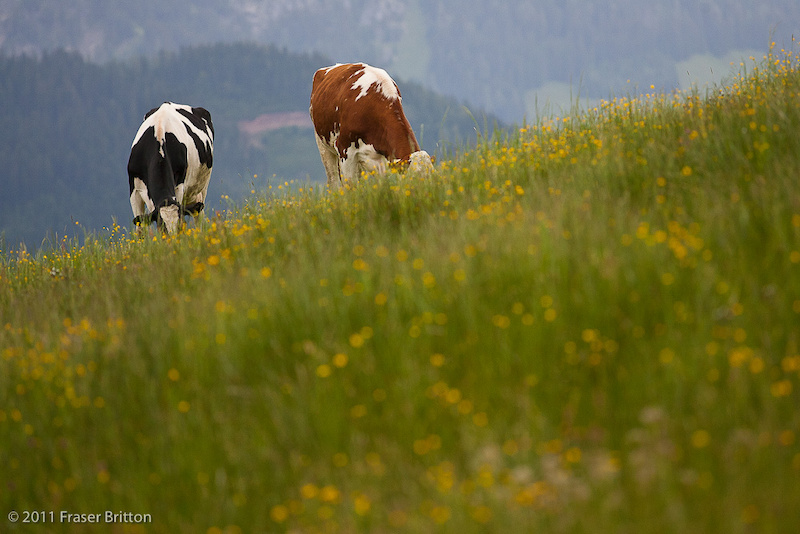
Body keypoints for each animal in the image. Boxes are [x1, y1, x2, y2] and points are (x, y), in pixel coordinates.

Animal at [127, 102, 214, 234]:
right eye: (162, 226)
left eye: (177, 227)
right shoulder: (134, 190)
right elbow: (140, 228)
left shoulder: (179, 185)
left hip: (202, 187)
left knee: (198, 216)